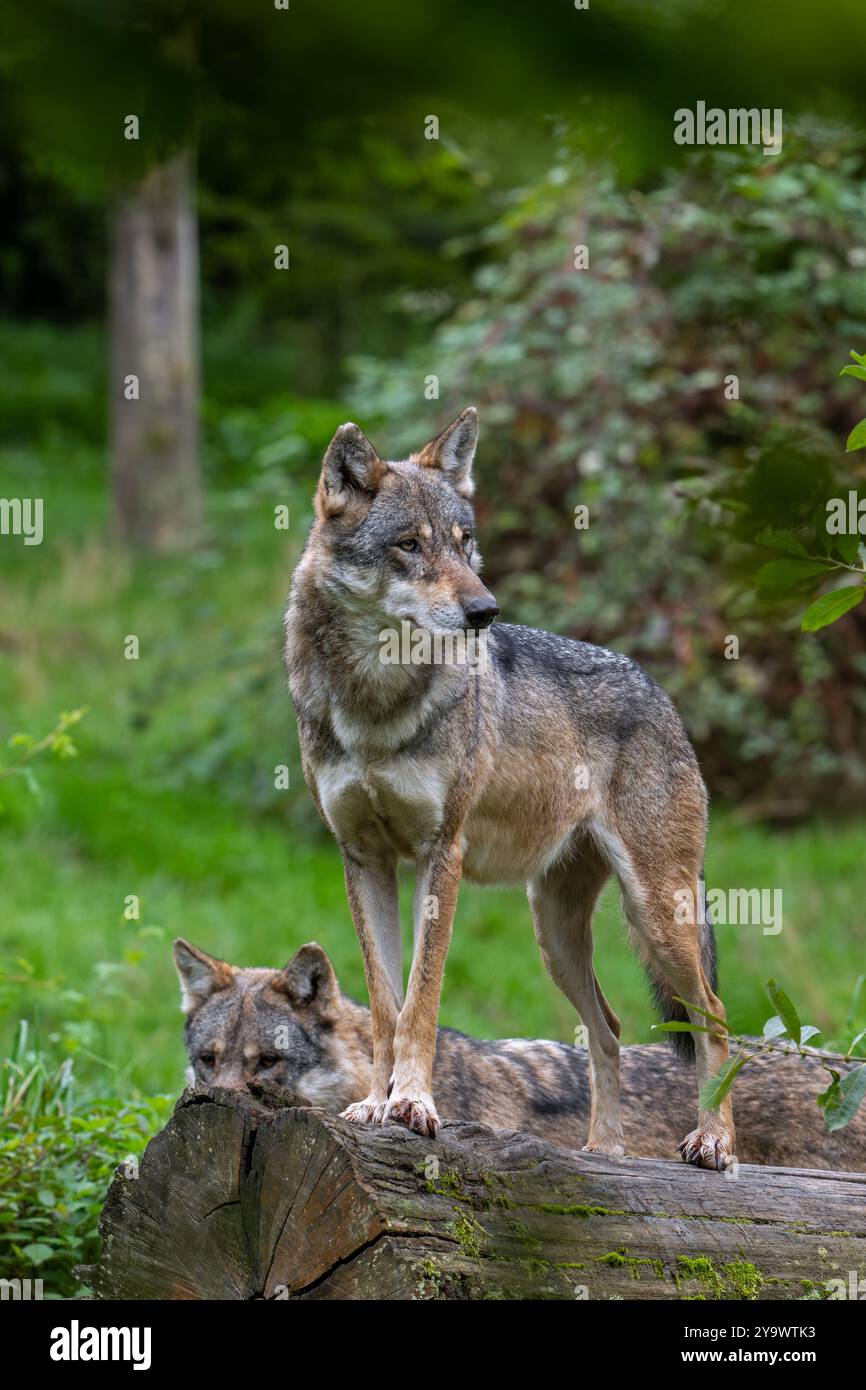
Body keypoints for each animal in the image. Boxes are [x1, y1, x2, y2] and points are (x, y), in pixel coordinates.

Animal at [280, 405, 733, 1167]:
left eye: (466, 544)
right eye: (409, 546)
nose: (485, 611)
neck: (375, 702)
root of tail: (659, 691)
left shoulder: (442, 854)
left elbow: (421, 1001)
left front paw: (414, 1104)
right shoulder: (364, 859)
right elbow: (383, 1005)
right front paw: (374, 1104)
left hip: (656, 915)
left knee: (716, 1019)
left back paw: (715, 1143)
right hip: (555, 934)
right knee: (609, 1028)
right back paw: (603, 1153)